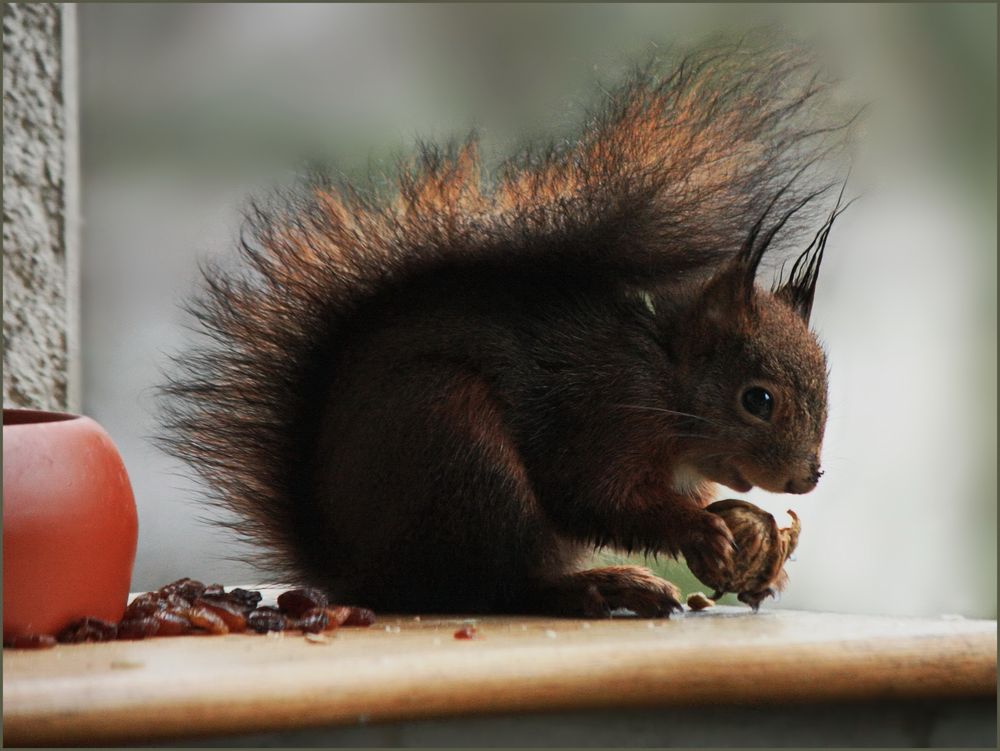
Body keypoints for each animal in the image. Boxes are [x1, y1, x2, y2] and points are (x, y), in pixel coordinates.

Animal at [160, 44, 856, 616]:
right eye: (757, 400)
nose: (809, 476)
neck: (663, 381)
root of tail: (356, 571)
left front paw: (759, 567)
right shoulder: (600, 415)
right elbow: (595, 497)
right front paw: (699, 530)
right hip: (458, 450)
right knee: (497, 586)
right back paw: (597, 588)